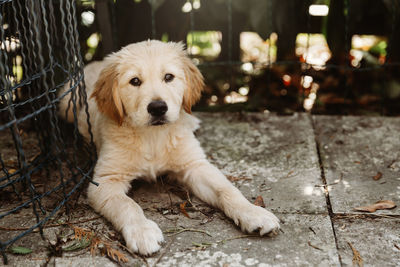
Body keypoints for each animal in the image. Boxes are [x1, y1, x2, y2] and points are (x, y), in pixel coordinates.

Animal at [59, 39, 280, 255]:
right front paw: (142, 231)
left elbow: (226, 189)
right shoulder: (105, 181)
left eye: (168, 77)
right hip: (66, 103)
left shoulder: (195, 165)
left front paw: (253, 213)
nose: (158, 108)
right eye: (135, 81)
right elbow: (127, 205)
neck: (153, 136)